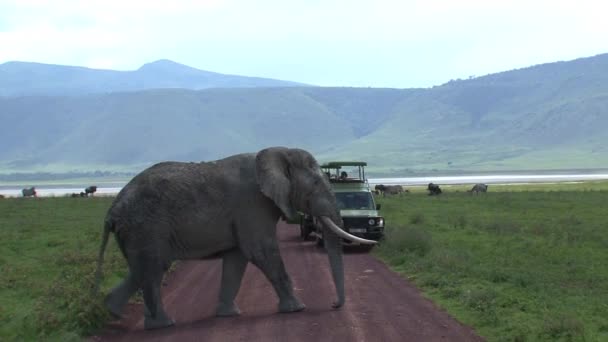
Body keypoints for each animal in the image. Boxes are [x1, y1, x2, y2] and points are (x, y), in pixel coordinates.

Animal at [94, 148, 376, 330]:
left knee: (142, 270)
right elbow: (260, 251)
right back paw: (163, 324)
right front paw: (298, 309)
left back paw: (115, 312)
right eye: (317, 184)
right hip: (146, 227)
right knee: (153, 269)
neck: (276, 153)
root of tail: (111, 211)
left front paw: (229, 315)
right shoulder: (252, 204)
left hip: (138, 232)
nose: (334, 305)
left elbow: (236, 259)